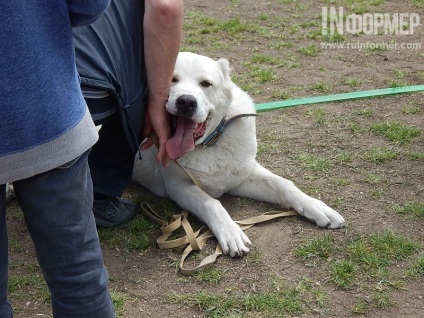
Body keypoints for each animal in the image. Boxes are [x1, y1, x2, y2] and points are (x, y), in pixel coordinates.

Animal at [132, 51, 344, 256]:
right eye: (172, 80)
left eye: (206, 83)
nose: (185, 101)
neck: (210, 144)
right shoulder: (178, 186)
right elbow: (210, 203)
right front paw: (230, 232)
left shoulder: (240, 177)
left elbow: (283, 184)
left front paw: (316, 206)